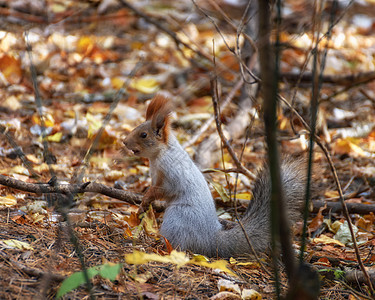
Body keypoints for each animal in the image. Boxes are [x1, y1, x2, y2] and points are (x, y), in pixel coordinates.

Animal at [123, 95, 308, 258]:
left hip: (177, 217)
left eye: (144, 135)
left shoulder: (171, 173)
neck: (159, 155)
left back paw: (162, 248)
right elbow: (151, 191)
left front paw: (147, 198)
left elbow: (164, 190)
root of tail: (210, 239)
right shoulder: (155, 176)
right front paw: (143, 205)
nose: (124, 142)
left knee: (180, 245)